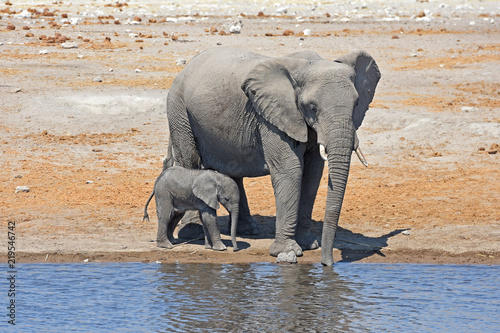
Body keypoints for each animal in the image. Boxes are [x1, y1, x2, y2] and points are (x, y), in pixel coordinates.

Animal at [164, 47, 378, 264]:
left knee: (234, 170)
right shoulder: (272, 117)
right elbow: (291, 170)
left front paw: (309, 245)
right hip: (179, 111)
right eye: (312, 107)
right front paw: (289, 250)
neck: (307, 66)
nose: (328, 263)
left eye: (357, 103)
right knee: (189, 161)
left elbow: (313, 174)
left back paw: (248, 230)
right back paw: (193, 232)